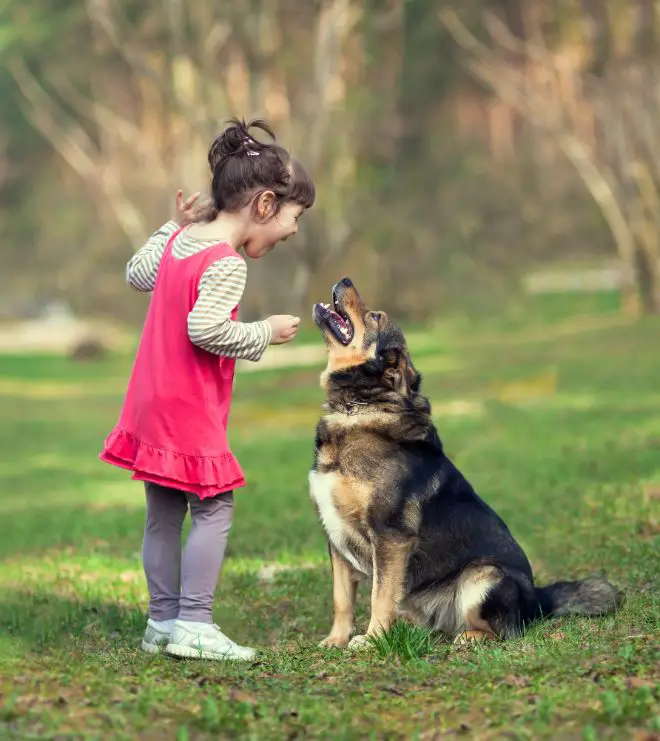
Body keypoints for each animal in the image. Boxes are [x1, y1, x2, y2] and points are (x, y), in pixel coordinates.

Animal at [310, 278, 624, 648]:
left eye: (375, 316)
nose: (345, 279)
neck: (357, 409)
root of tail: (538, 599)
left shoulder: (390, 536)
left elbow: (379, 597)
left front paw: (373, 640)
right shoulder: (335, 537)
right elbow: (342, 599)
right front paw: (336, 640)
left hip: (483, 576)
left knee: (504, 630)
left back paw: (469, 637)